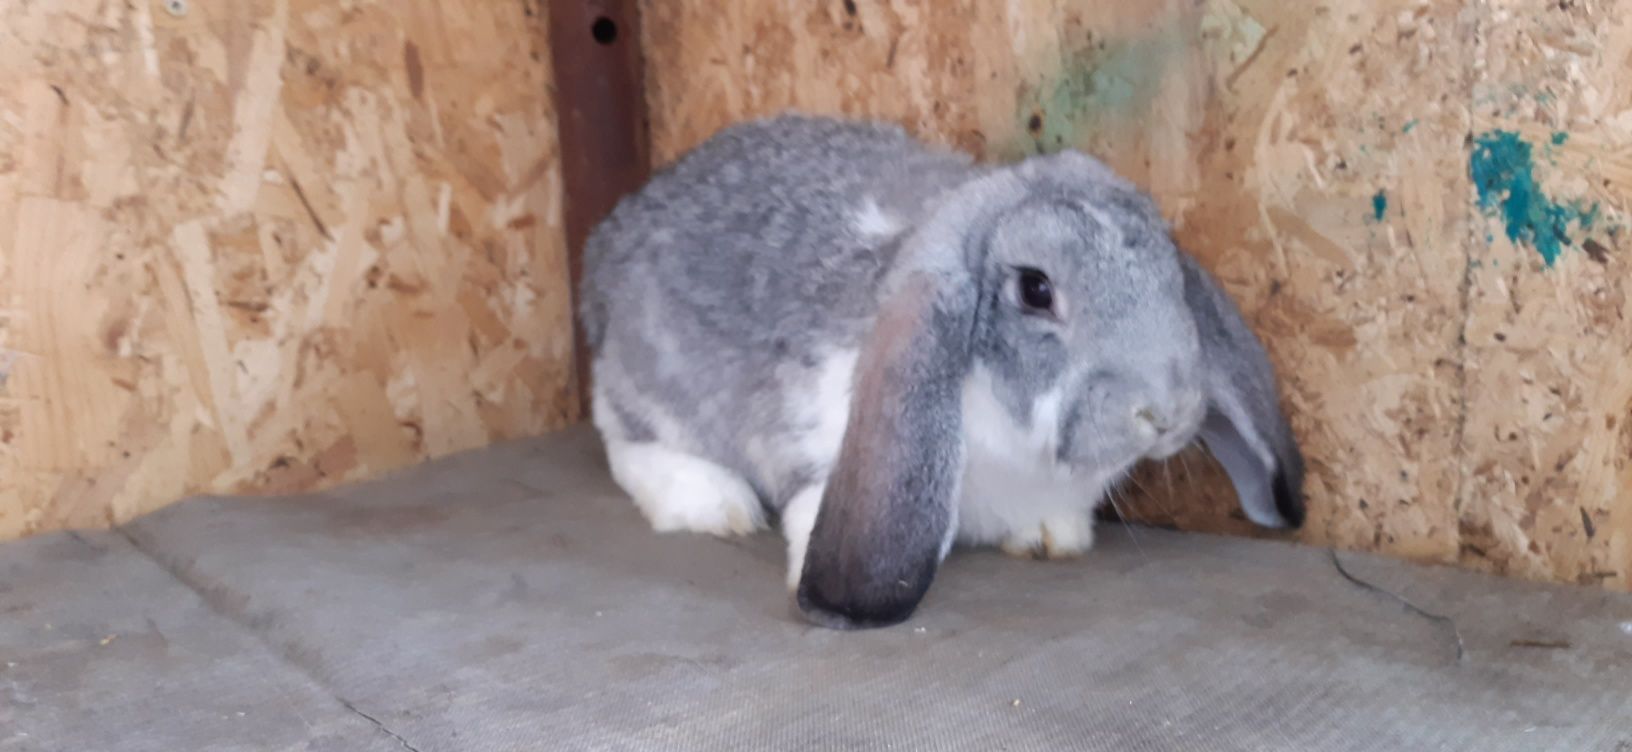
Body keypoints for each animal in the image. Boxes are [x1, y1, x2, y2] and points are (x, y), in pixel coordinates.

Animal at [580, 111, 1305, 626]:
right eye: (1036, 290)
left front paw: (1050, 538)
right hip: (653, 388)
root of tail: (610, 244)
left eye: (1169, 270)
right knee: (624, 438)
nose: (1169, 412)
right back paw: (714, 504)